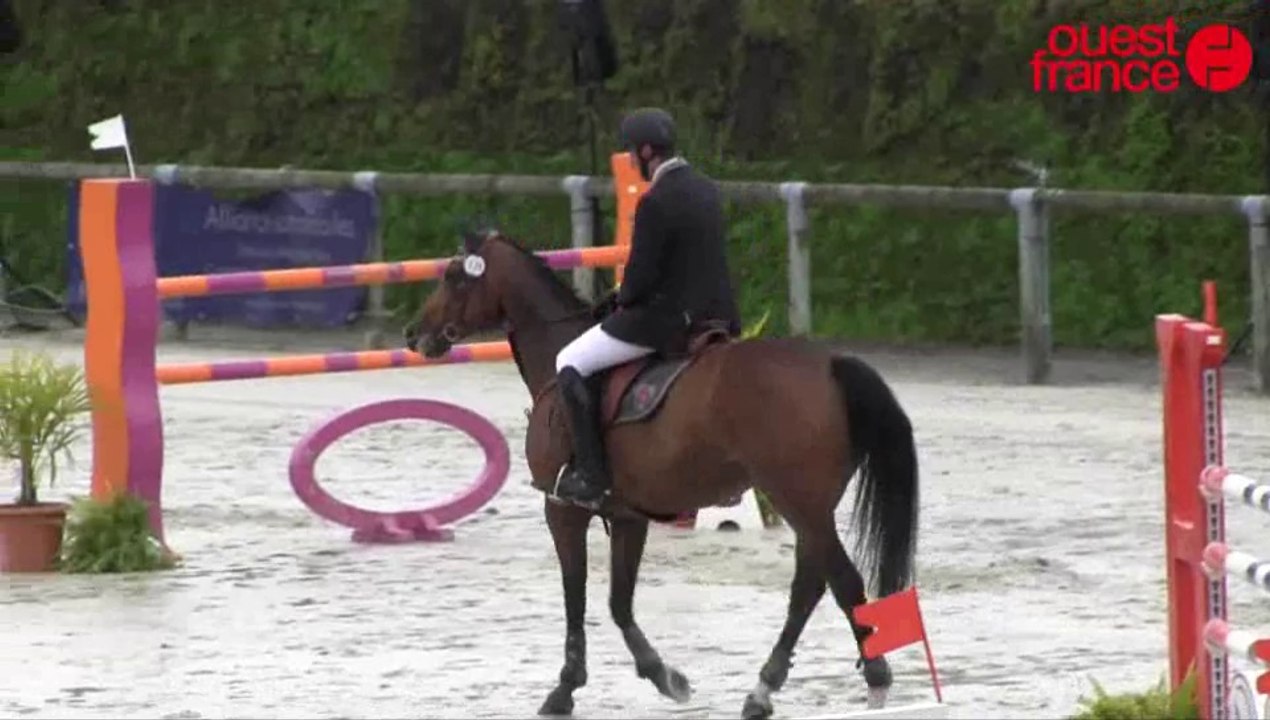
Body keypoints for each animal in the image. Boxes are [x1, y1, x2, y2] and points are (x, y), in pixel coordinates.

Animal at [402, 229, 921, 719]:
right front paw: (664, 676)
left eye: (455, 276)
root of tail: (830, 364)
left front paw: (565, 689)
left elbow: (576, 595)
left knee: (842, 582)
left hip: (799, 503)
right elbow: (619, 601)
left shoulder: (562, 509)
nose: (413, 334)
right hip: (809, 507)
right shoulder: (628, 515)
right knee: (810, 587)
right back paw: (764, 690)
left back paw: (873, 680)